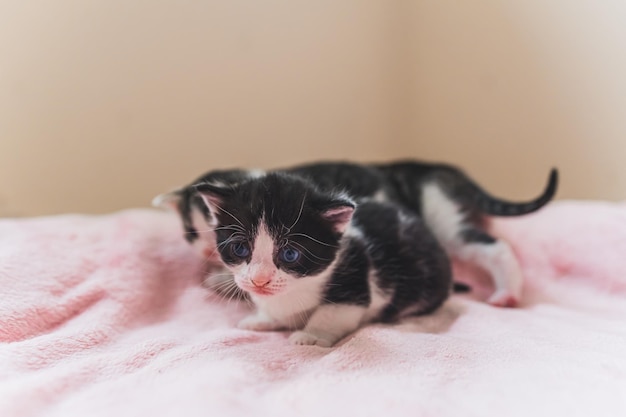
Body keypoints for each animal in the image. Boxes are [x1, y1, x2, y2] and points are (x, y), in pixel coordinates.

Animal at [193, 172, 450, 348]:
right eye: (240, 248)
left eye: (290, 254)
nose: (260, 280)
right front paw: (263, 319)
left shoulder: (353, 281)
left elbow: (331, 313)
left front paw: (312, 336)